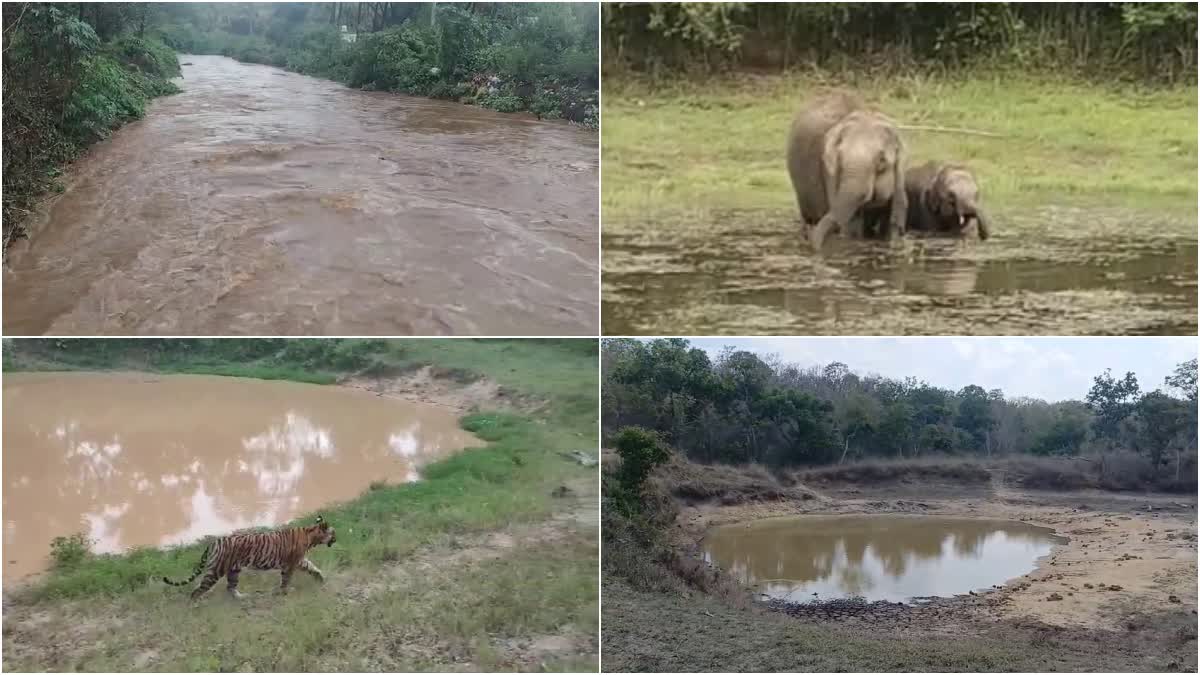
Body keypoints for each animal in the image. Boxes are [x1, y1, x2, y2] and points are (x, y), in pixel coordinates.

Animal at [159, 511, 338, 595]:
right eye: (333, 532)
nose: (337, 539)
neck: (311, 535)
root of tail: (213, 542)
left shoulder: (299, 560)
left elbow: (313, 567)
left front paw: (321, 579)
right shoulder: (291, 563)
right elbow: (287, 579)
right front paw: (285, 591)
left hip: (233, 570)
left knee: (229, 588)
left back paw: (242, 597)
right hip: (217, 570)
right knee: (198, 589)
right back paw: (195, 603)